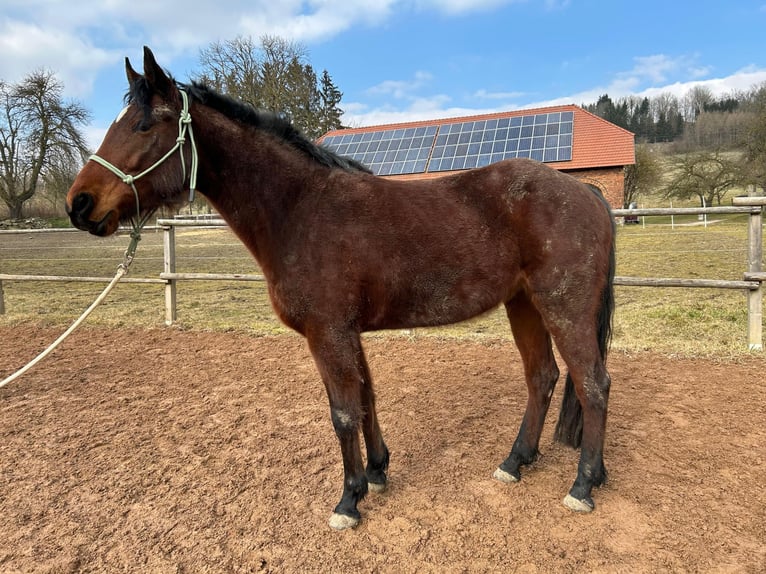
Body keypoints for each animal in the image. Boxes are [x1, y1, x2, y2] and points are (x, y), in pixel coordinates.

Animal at [66, 47, 616, 532]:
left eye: (145, 125)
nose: (79, 203)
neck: (300, 209)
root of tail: (586, 192)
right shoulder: (348, 333)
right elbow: (367, 398)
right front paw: (376, 472)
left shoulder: (327, 333)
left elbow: (344, 413)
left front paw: (349, 500)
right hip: (524, 305)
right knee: (543, 378)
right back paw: (516, 461)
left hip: (562, 308)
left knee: (592, 385)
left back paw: (583, 485)